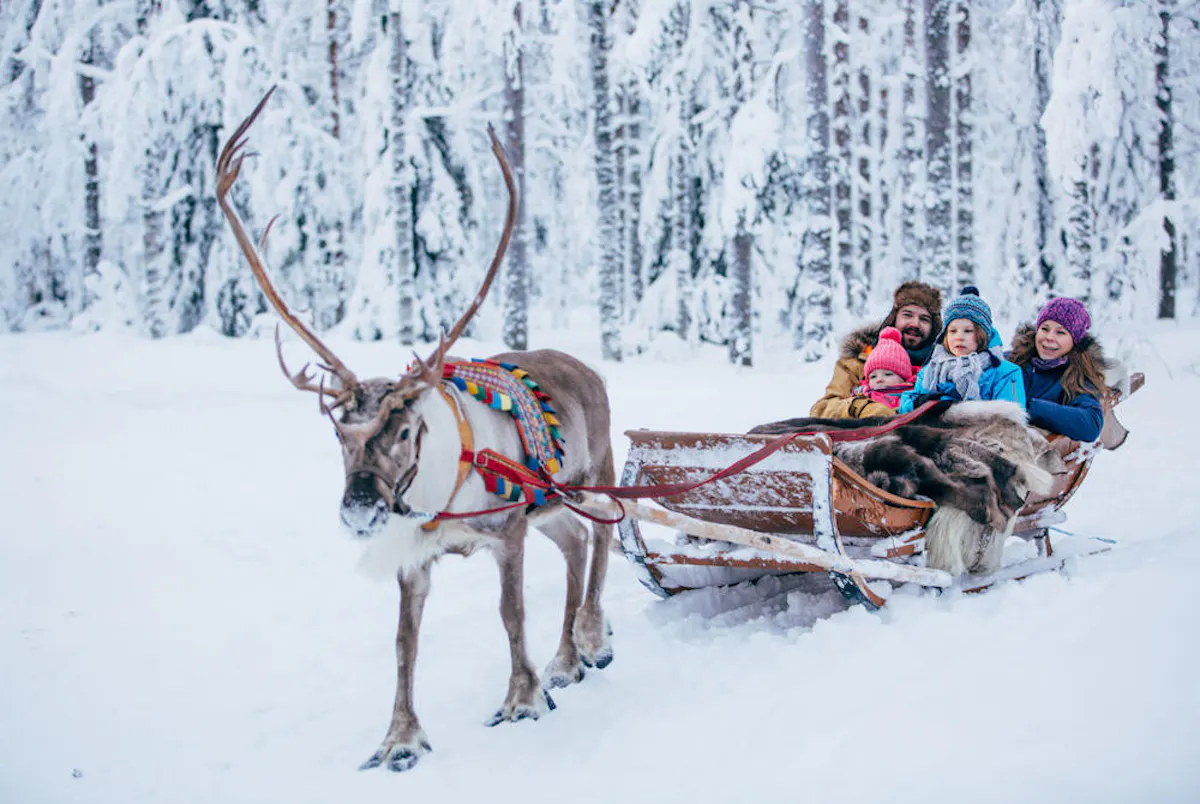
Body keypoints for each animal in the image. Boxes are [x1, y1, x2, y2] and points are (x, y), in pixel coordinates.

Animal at [215, 88, 615, 773]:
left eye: (403, 430)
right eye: (339, 434)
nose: (358, 509)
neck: (440, 496)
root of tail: (588, 367)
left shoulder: (508, 531)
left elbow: (511, 615)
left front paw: (522, 699)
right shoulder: (414, 556)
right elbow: (404, 642)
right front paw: (399, 738)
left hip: (595, 474)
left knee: (607, 536)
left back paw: (591, 637)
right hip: (551, 506)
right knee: (576, 544)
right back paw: (566, 660)